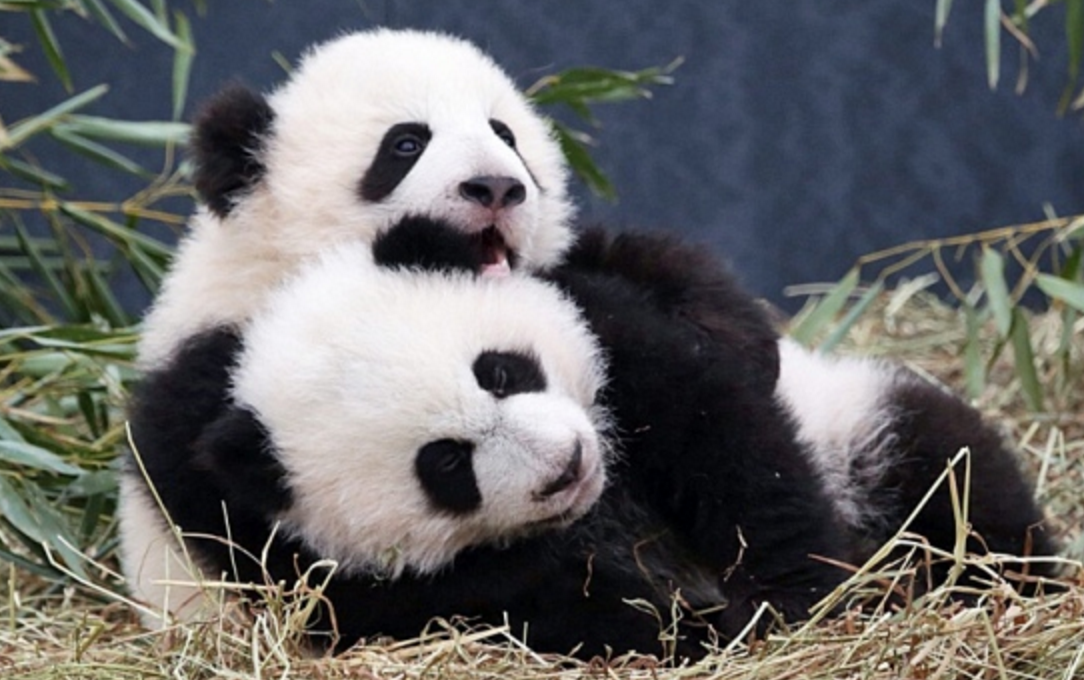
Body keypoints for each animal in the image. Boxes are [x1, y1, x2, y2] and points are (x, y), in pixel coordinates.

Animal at [122, 215, 852, 659]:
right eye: (445, 464)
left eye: (499, 371)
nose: (565, 467)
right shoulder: (298, 561)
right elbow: (527, 600)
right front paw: (673, 623)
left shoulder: (616, 339)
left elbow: (723, 445)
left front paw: (786, 596)